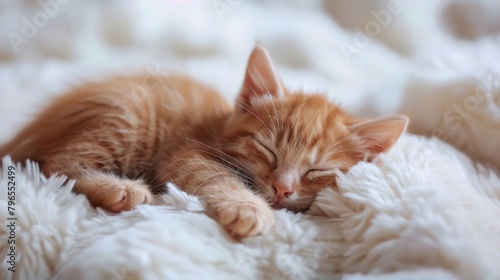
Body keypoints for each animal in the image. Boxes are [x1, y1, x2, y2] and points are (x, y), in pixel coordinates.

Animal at [0, 46, 408, 238]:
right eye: (268, 150)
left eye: (317, 171)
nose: (281, 189)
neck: (216, 126)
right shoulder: (185, 152)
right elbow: (216, 176)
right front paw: (249, 208)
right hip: (127, 117)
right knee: (52, 166)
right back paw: (120, 189)